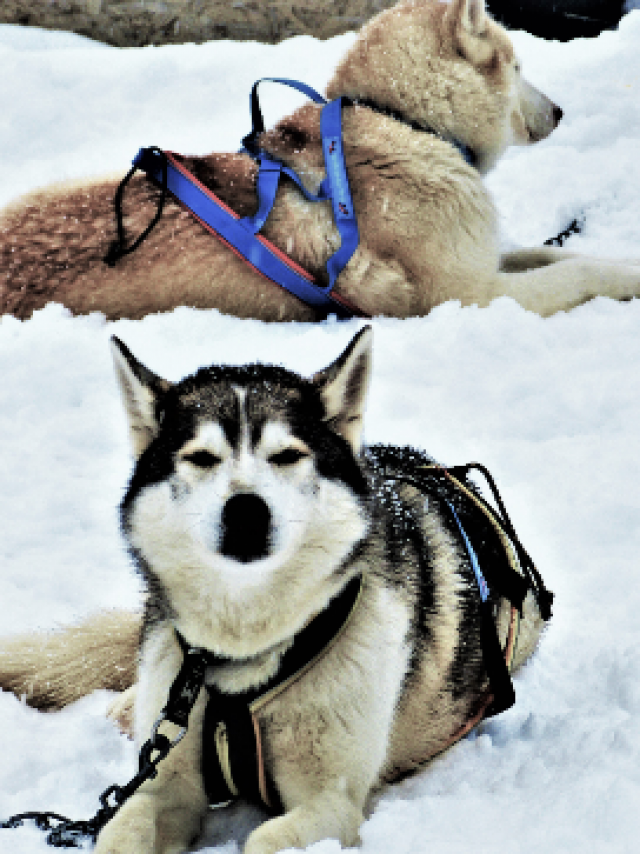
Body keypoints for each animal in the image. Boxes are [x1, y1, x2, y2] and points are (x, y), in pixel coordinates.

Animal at [0, 328, 552, 854]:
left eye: (287, 456)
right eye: (201, 458)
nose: (246, 509)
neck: (243, 652)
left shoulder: (330, 799)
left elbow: (265, 838)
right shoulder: (162, 786)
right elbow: (123, 827)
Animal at [3, 0, 640, 322]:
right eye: (517, 65)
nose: (560, 111)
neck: (402, 120)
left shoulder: (483, 257)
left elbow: (560, 253)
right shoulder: (468, 295)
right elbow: (577, 272)